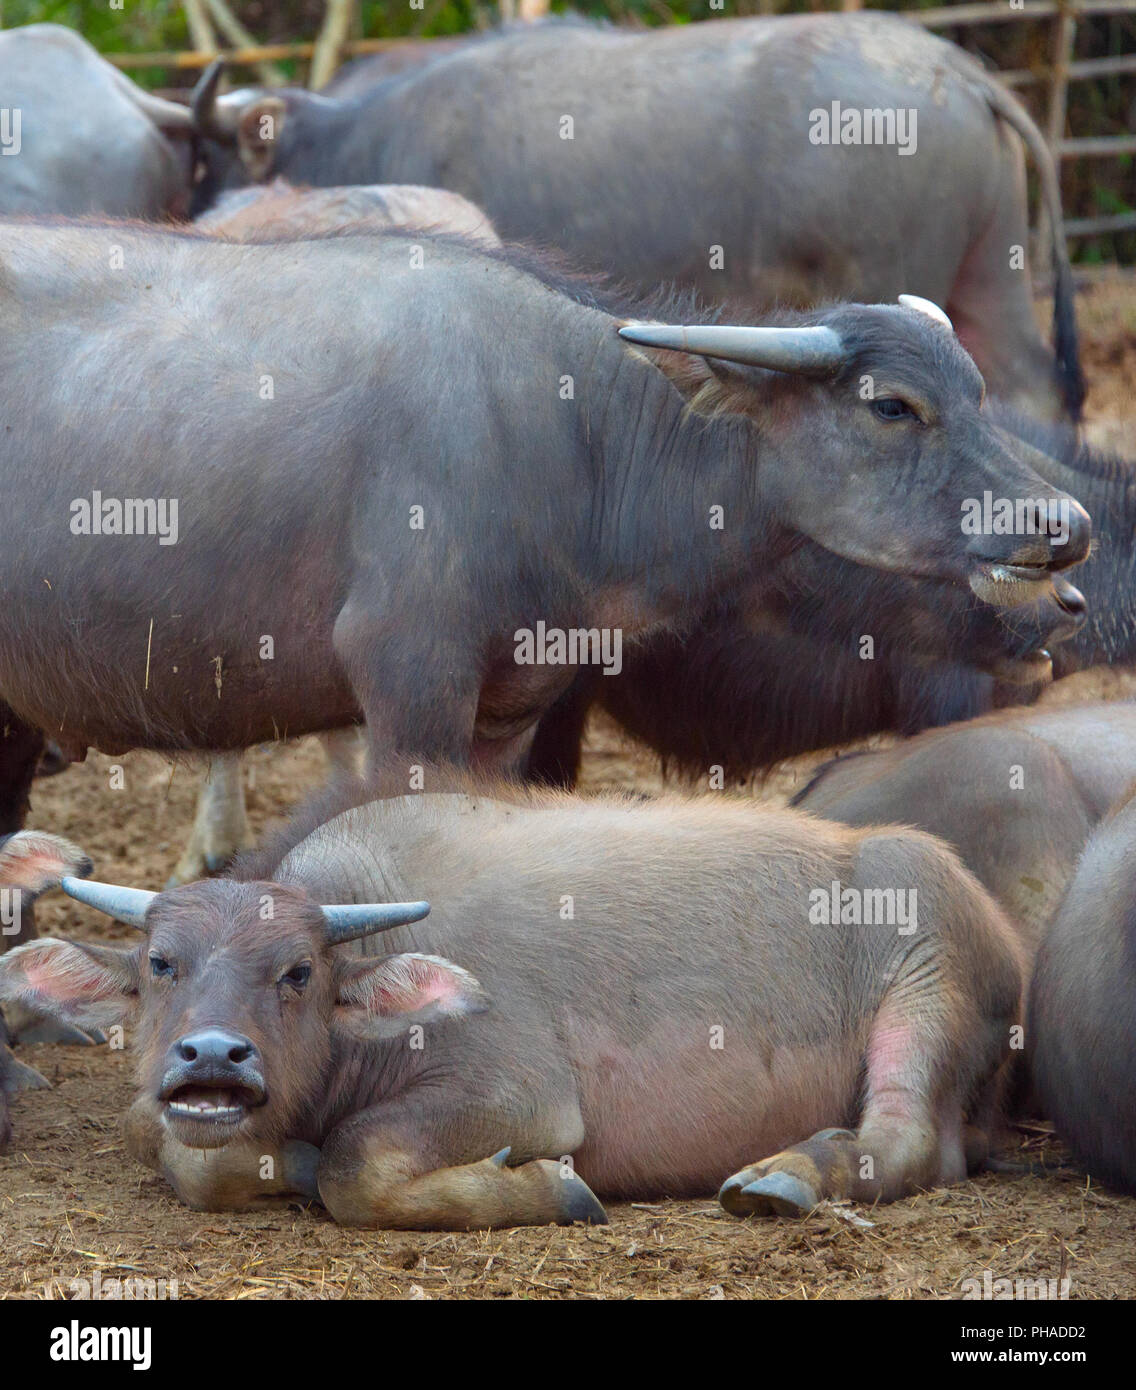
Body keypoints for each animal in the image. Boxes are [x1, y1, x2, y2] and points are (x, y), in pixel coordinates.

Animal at [0, 772, 1028, 1228]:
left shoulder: (519, 1093)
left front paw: (546, 1188)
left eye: (298, 972)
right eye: (161, 963)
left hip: (928, 982)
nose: (213, 1054)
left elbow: (357, 1166)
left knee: (908, 1136)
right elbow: (178, 1148)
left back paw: (788, 1176)